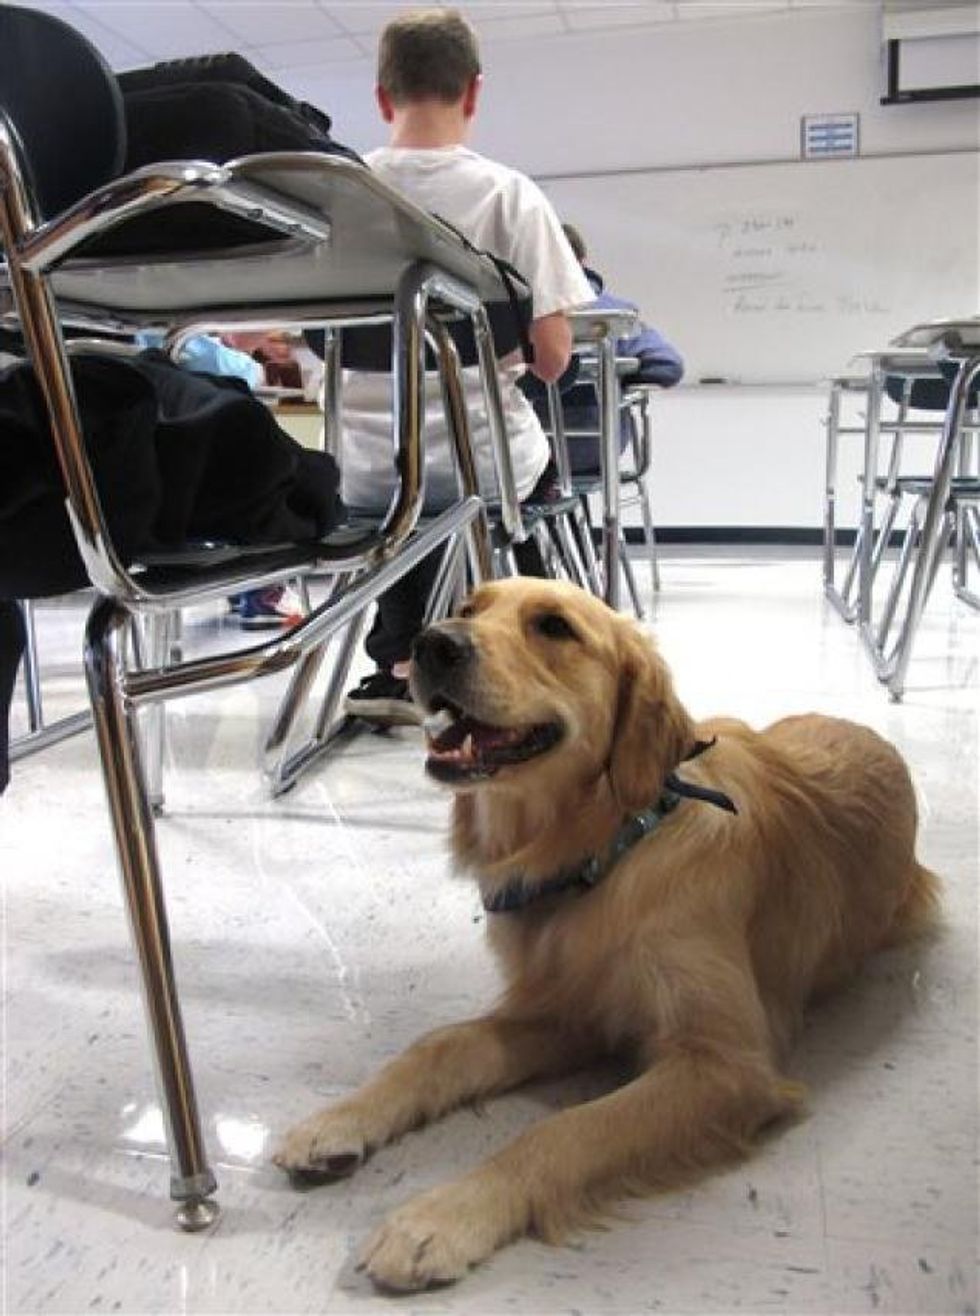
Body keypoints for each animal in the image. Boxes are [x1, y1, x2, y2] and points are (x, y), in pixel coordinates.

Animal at [273, 581, 931, 1289]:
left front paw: (440, 1218)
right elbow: (439, 1047)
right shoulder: (570, 1009)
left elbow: (562, 1132)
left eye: (554, 627)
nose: (432, 643)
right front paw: (338, 1121)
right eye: (469, 608)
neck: (605, 851)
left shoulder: (724, 1065)